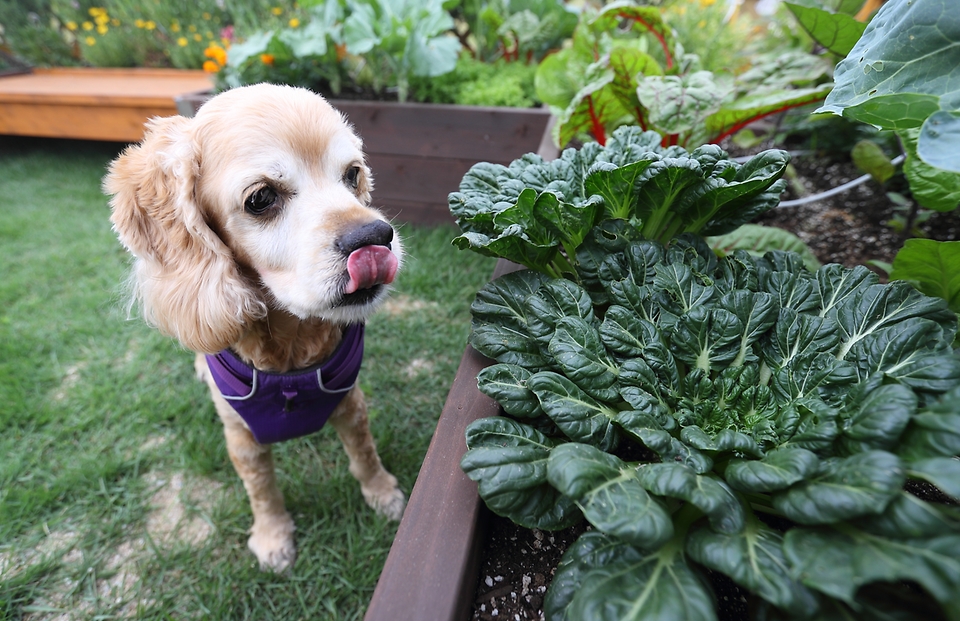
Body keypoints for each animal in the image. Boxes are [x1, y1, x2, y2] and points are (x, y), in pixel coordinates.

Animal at [104, 83, 404, 572]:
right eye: (261, 198)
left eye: (352, 174)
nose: (375, 237)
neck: (290, 354)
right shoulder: (241, 437)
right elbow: (261, 489)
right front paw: (272, 537)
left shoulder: (351, 402)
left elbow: (363, 452)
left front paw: (382, 493)